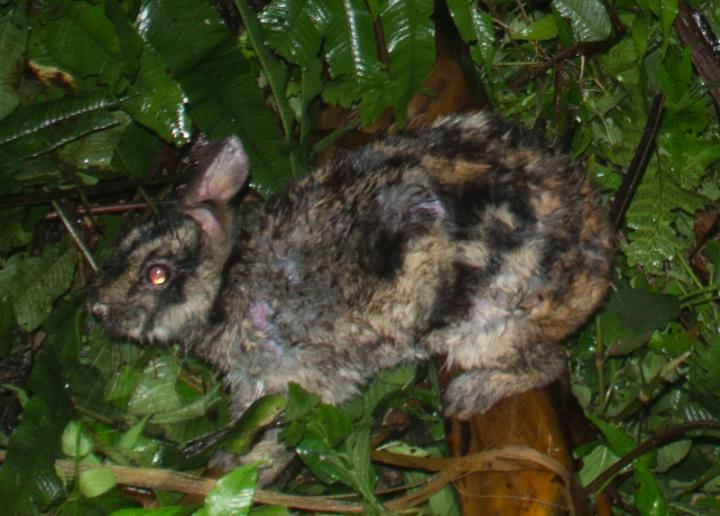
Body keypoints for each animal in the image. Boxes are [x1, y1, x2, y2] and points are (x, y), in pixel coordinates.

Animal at [89, 112, 613, 479]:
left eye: (157, 275)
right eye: (124, 246)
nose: (97, 307)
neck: (225, 286)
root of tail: (598, 260)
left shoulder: (289, 379)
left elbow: (273, 434)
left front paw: (237, 470)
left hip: (482, 323)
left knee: (547, 363)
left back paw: (468, 394)